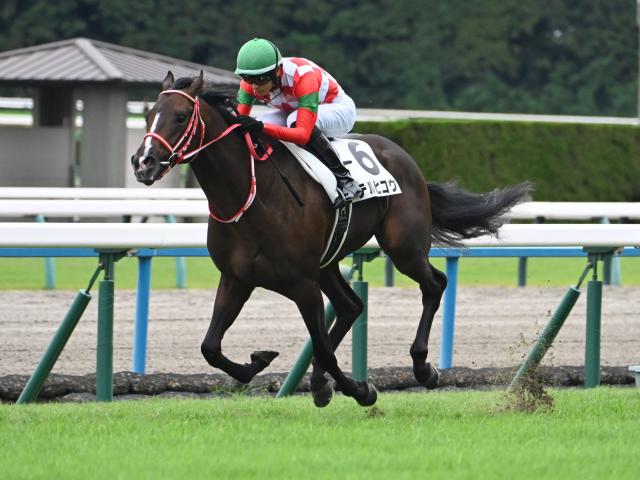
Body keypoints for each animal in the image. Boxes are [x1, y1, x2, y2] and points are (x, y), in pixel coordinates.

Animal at [131, 71, 531, 407]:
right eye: (149, 115)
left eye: (181, 116)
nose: (143, 162)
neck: (251, 195)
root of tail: (403, 155)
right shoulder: (237, 277)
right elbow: (210, 347)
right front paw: (259, 361)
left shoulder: (301, 283)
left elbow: (322, 347)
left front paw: (361, 390)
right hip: (328, 262)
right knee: (351, 305)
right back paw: (322, 383)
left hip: (402, 246)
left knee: (433, 284)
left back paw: (422, 368)